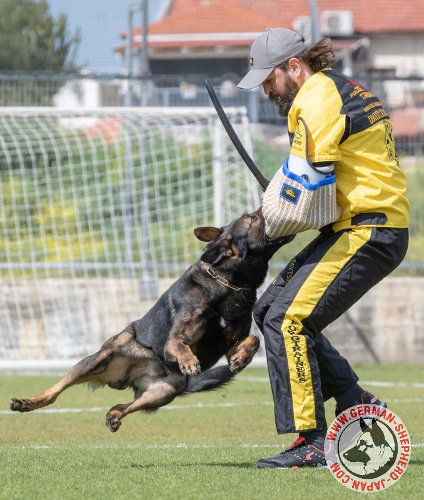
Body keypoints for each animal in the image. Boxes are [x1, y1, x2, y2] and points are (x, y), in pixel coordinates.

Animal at [9, 209, 292, 432]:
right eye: (252, 218)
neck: (228, 284)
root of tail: (131, 376)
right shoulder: (173, 341)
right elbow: (180, 344)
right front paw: (189, 362)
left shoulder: (232, 340)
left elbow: (253, 339)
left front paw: (241, 359)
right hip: (97, 359)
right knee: (55, 392)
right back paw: (27, 402)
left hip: (163, 391)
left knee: (121, 404)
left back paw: (114, 416)